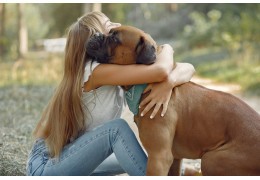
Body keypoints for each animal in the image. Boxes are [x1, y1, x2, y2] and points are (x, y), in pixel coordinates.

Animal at [85, 26, 260, 175]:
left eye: (114, 39)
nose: (96, 34)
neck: (146, 83)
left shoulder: (158, 158)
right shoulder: (174, 158)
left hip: (211, 160)